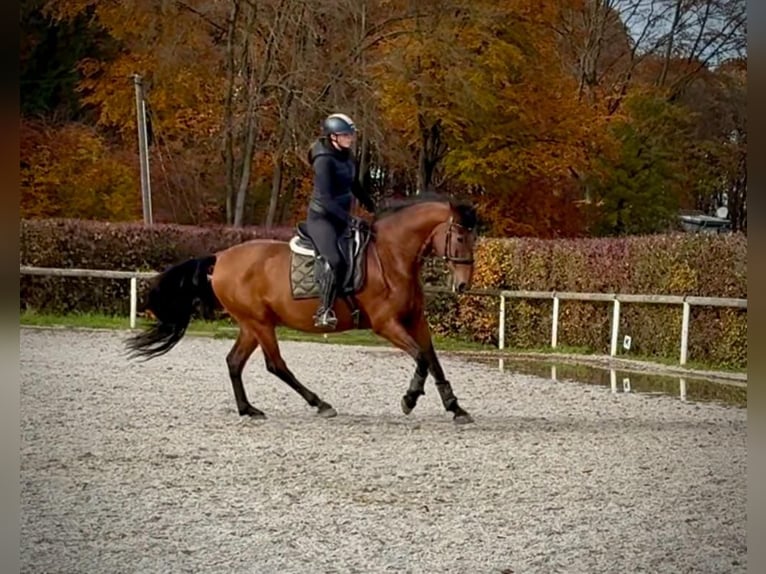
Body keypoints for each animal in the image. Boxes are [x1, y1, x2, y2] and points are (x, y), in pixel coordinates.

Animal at [125, 193, 478, 424]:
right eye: (460, 237)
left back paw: (248, 409)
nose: (463, 285)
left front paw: (455, 407)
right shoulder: (386, 324)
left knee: (235, 361)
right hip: (260, 323)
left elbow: (432, 359)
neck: (392, 257)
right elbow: (421, 358)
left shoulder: (415, 319)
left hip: (251, 325)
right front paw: (409, 399)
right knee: (275, 365)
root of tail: (221, 257)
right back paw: (319, 403)